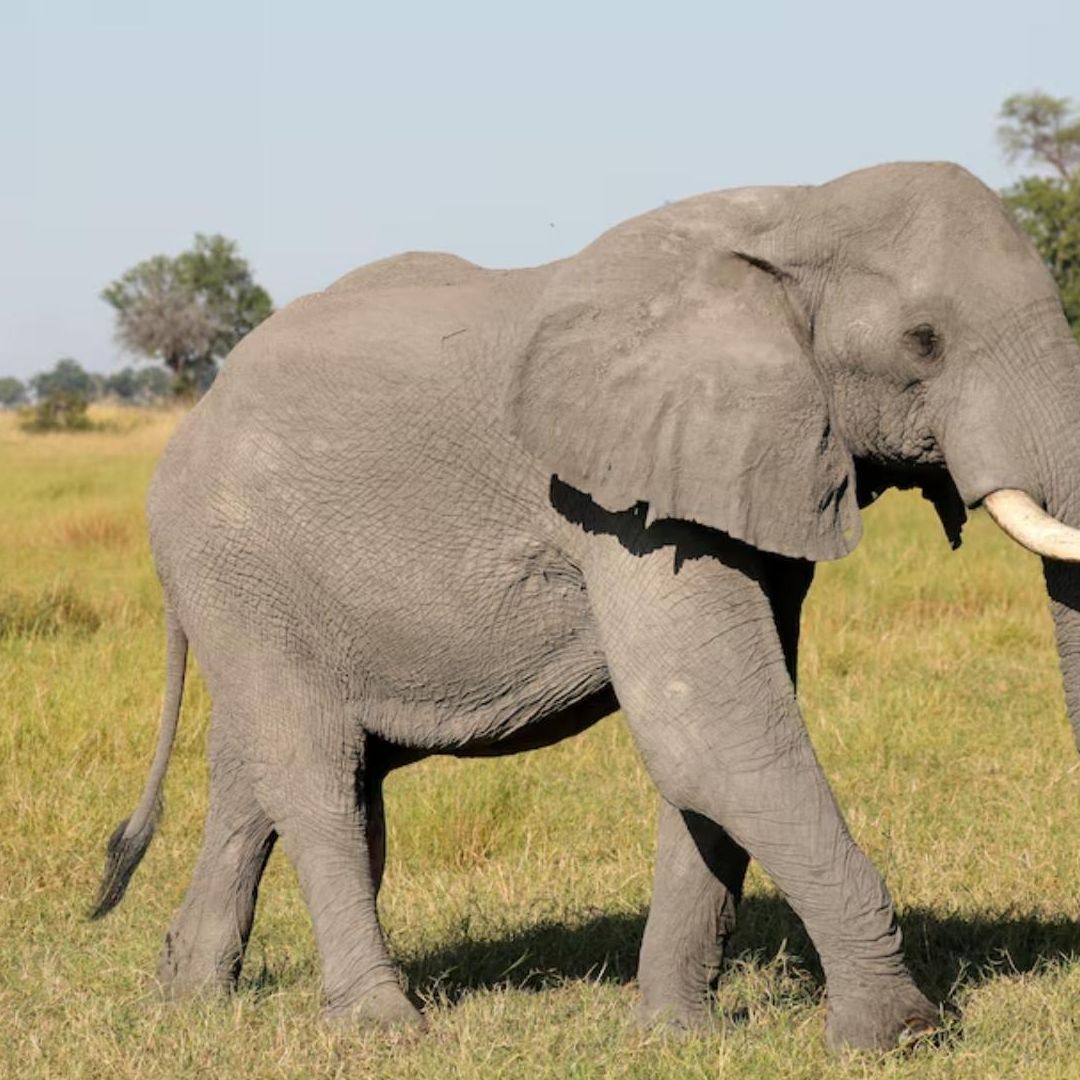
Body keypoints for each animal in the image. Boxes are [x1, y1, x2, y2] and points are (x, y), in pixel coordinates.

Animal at [92, 161, 1080, 1052]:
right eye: (924, 342)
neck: (796, 210)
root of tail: (196, 413)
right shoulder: (623, 504)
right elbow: (711, 731)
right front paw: (895, 1038)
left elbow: (717, 751)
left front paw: (675, 1038)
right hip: (232, 560)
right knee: (316, 773)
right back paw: (382, 1030)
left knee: (257, 769)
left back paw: (188, 1001)